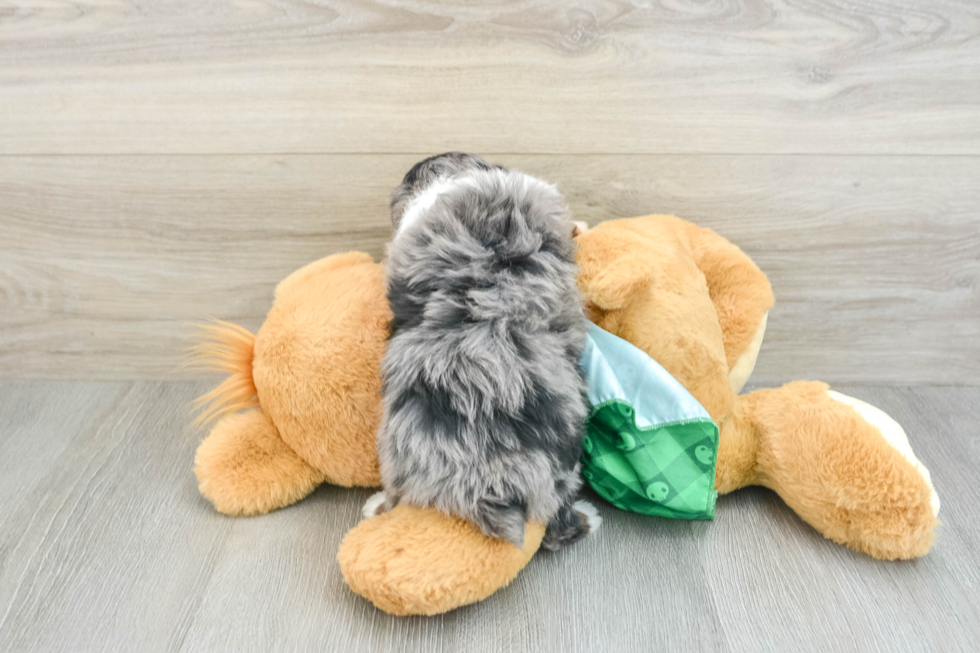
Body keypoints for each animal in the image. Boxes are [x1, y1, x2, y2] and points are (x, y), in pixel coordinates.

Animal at [362, 153, 596, 552]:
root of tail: (489, 480)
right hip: (562, 467)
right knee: (557, 527)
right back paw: (589, 518)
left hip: (395, 458)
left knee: (395, 496)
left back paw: (375, 506)